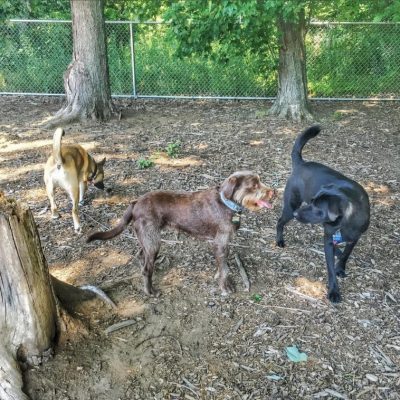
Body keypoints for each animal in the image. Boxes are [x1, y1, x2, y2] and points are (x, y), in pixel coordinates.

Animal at [276, 126, 370, 304]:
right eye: (312, 201)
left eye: (317, 207)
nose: (298, 214)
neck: (346, 220)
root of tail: (301, 163)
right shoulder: (328, 237)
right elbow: (330, 269)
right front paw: (334, 291)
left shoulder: (355, 237)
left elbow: (346, 254)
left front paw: (341, 266)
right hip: (291, 206)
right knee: (279, 221)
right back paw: (279, 240)